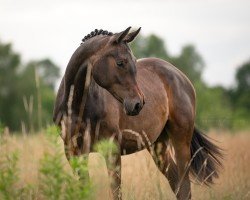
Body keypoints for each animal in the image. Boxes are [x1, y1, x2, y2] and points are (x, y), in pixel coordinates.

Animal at [52, 27, 223, 200]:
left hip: (181, 141)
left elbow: (116, 192)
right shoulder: (74, 154)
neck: (77, 106)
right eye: (120, 62)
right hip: (158, 146)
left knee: (185, 186)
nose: (137, 104)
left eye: (134, 62)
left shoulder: (112, 151)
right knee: (177, 185)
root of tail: (181, 77)